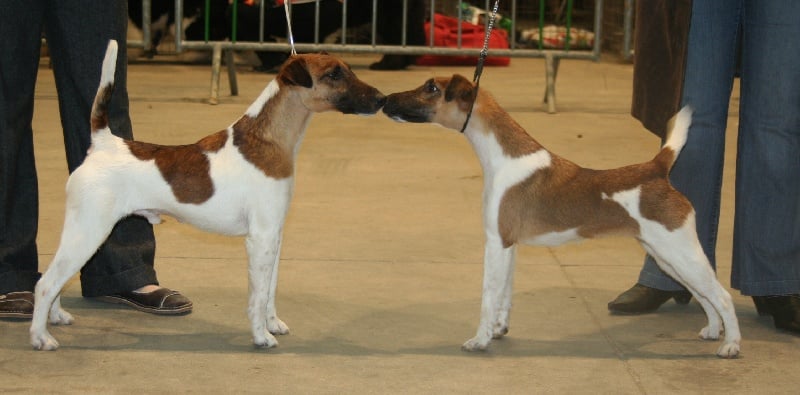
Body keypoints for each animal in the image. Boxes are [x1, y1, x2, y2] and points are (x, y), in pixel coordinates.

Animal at [28, 40, 384, 352]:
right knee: (46, 283)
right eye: (334, 74)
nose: (381, 99)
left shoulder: (275, 236)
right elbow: (257, 295)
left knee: (55, 279)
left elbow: (270, 288)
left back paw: (56, 318)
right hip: (89, 232)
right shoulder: (260, 239)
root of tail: (104, 144)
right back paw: (40, 337)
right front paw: (261, 336)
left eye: (347, 68)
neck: (266, 140)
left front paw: (273, 323)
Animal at [384, 74, 740, 358]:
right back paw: (712, 331)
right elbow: (504, 295)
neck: (503, 157)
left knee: (721, 296)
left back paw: (731, 345)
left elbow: (488, 296)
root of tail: (657, 169)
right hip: (667, 258)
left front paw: (480, 339)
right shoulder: (509, 245)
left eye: (431, 88)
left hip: (680, 253)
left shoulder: (496, 243)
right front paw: (499, 329)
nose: (386, 100)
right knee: (704, 296)